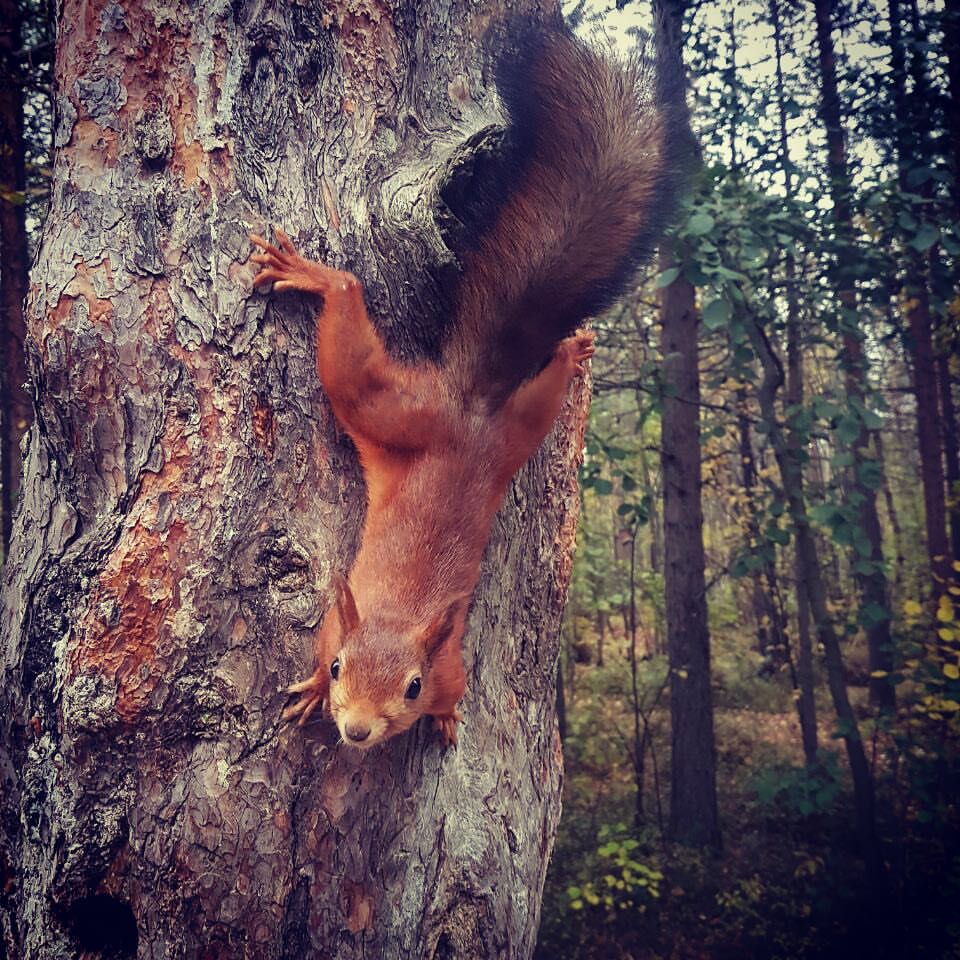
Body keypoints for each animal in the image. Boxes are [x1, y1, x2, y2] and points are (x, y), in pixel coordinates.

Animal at [249, 20, 684, 749]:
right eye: (339, 668)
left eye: (412, 686)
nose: (356, 732)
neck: (398, 615)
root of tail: (472, 407)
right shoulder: (340, 621)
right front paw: (308, 690)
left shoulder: (449, 659)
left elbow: (457, 691)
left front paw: (448, 718)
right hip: (439, 417)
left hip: (456, 423)